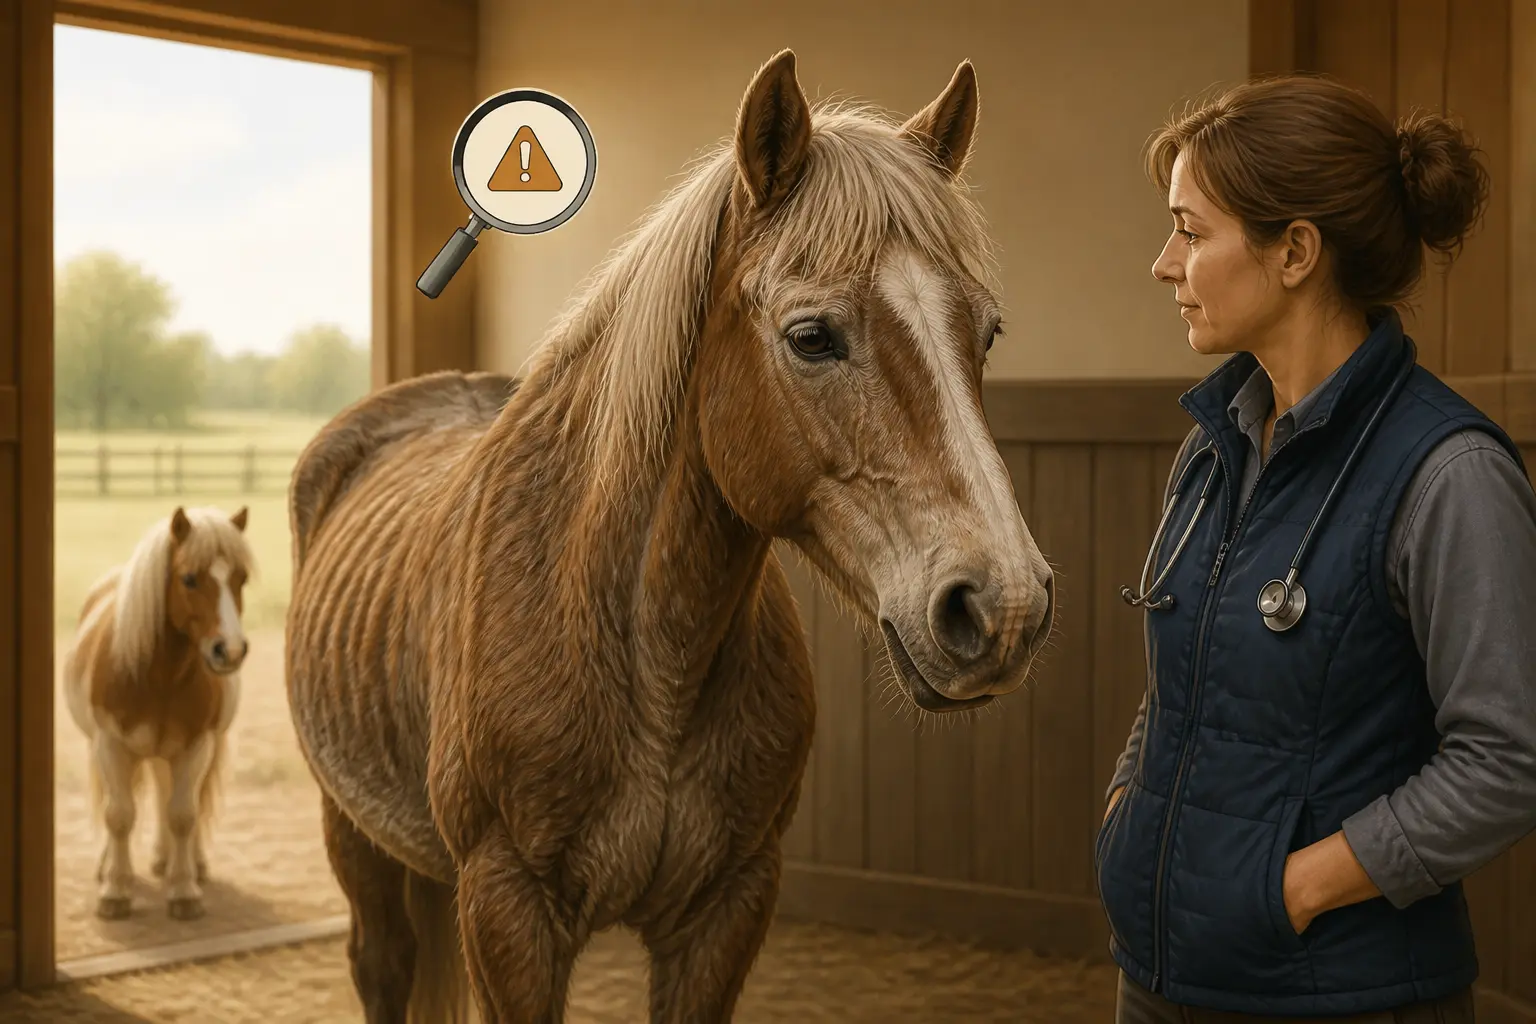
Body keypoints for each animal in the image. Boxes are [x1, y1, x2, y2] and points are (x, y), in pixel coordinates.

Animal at [62, 505, 254, 922]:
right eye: (189, 578)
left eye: (241, 578)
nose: (229, 651)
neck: (157, 676)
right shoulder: (111, 746)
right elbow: (118, 815)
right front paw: (115, 892)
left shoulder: (196, 746)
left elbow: (182, 814)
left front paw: (184, 891)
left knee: (176, 799)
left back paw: (181, 863)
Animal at [284, 49, 1056, 1023]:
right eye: (812, 336)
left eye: (985, 333)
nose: (1004, 608)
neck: (648, 662)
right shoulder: (509, 914)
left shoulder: (726, 911)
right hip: (353, 835)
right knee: (380, 963)